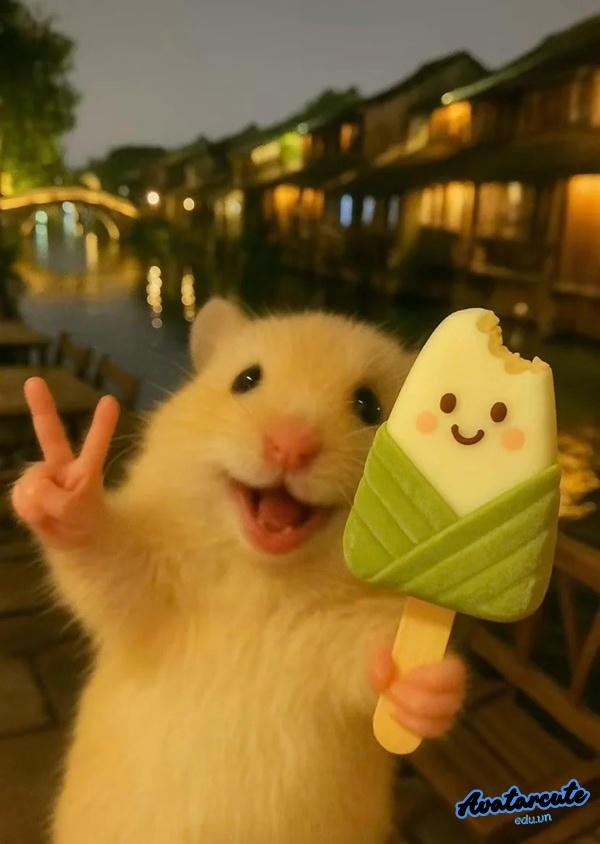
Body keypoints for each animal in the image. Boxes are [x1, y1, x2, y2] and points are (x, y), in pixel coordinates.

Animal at [13, 299, 465, 844]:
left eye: (369, 406)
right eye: (246, 380)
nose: (289, 446)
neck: (263, 583)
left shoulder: (347, 644)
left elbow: (375, 659)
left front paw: (426, 686)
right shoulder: (148, 592)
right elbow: (102, 554)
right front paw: (63, 484)